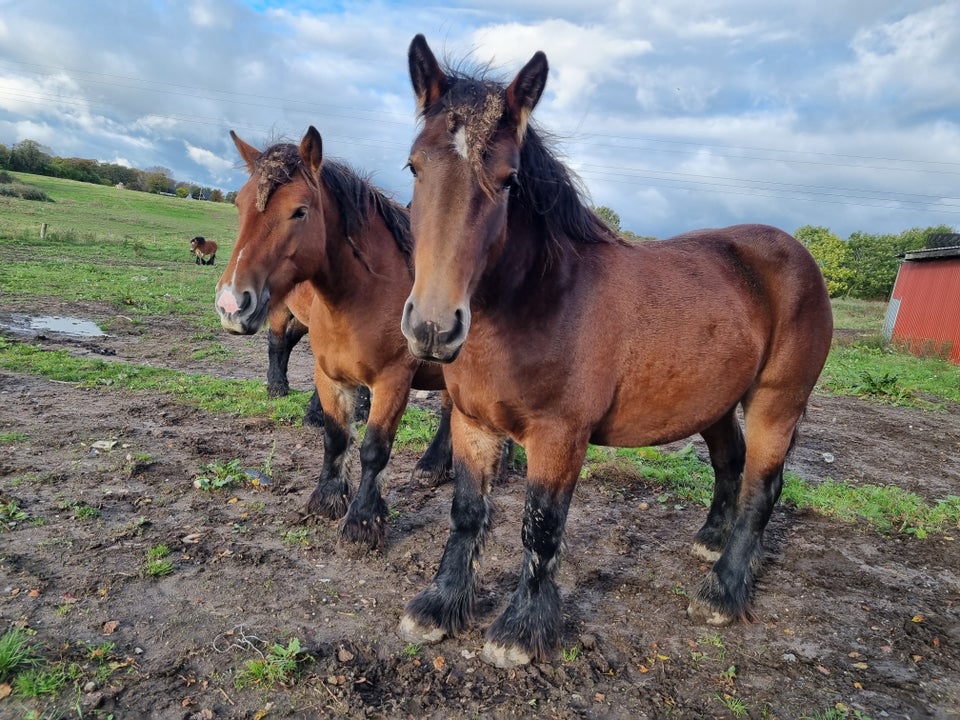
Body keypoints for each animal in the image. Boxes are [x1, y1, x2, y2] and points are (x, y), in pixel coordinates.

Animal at [217, 128, 454, 544]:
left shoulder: (394, 381)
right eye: (240, 204)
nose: (232, 303)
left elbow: (375, 448)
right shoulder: (329, 374)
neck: (368, 294)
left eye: (299, 211)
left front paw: (363, 521)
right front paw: (326, 499)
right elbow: (336, 437)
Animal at [398, 36, 832, 668]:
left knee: (761, 486)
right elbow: (467, 513)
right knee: (730, 462)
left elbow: (541, 527)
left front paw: (520, 632)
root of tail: (796, 254)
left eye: (508, 179)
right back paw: (709, 543)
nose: (433, 327)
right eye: (414, 166)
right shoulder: (472, 423)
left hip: (777, 403)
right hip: (714, 402)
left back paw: (723, 591)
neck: (540, 301)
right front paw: (440, 606)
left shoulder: (559, 437)